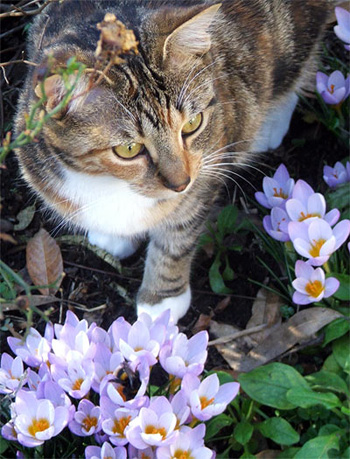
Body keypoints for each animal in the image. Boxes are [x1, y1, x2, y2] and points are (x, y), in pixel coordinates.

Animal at [15, 0, 332, 324]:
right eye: (129, 149)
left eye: (193, 123)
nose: (181, 183)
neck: (111, 184)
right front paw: (112, 236)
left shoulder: (206, 170)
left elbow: (178, 236)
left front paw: (162, 300)